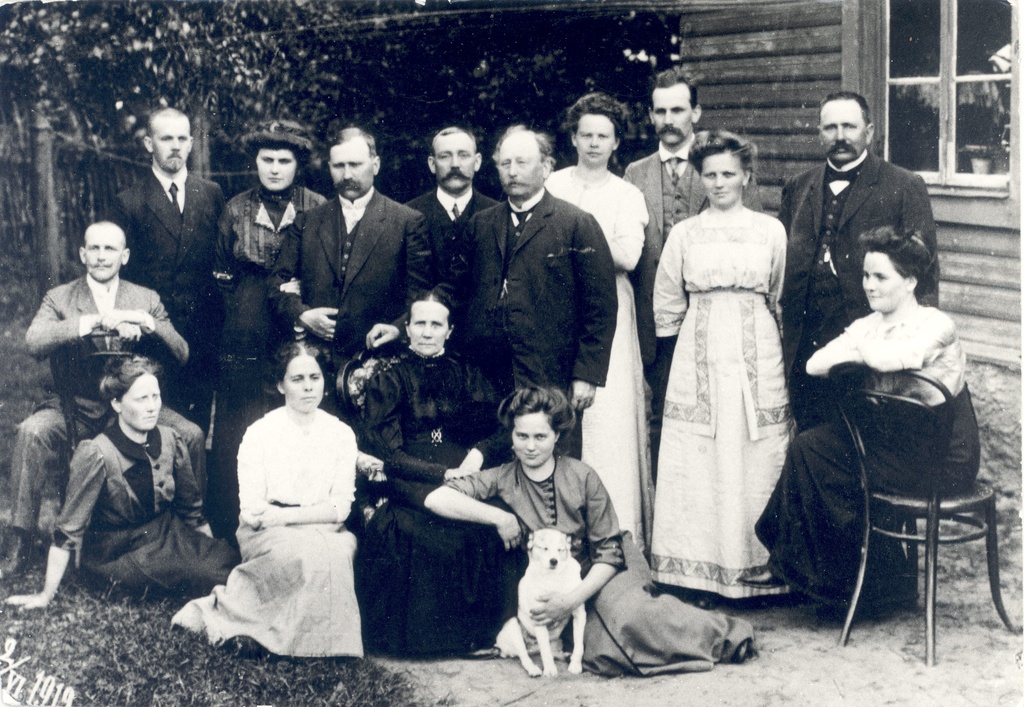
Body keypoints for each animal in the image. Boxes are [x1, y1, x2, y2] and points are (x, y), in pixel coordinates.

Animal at [493, 524, 585, 676]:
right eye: (545, 548)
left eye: (560, 549)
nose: (554, 561)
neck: (554, 579)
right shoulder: (539, 618)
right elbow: (545, 650)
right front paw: (550, 669)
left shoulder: (579, 614)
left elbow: (579, 643)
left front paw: (576, 664)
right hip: (513, 628)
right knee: (525, 656)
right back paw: (534, 669)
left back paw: (562, 655)